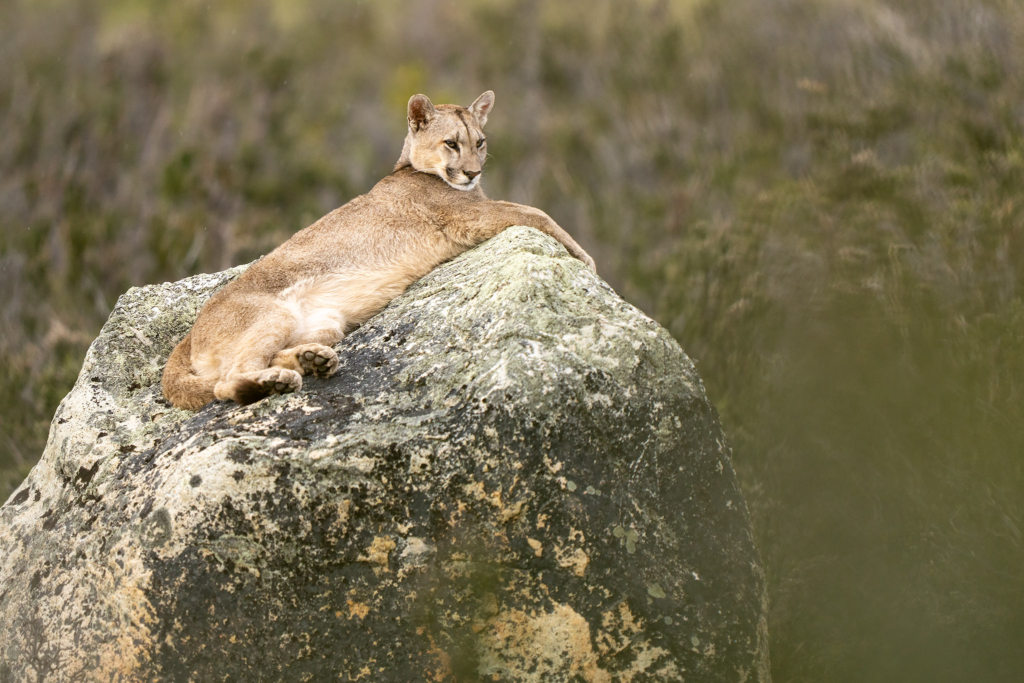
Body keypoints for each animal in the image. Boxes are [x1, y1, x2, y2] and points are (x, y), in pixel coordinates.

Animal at [158, 90, 593, 411]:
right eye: (451, 143)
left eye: (480, 143)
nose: (473, 172)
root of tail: (187, 336)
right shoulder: (467, 216)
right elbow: (534, 211)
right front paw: (584, 258)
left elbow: (530, 210)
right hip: (273, 315)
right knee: (226, 382)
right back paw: (277, 382)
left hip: (326, 324)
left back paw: (311, 361)